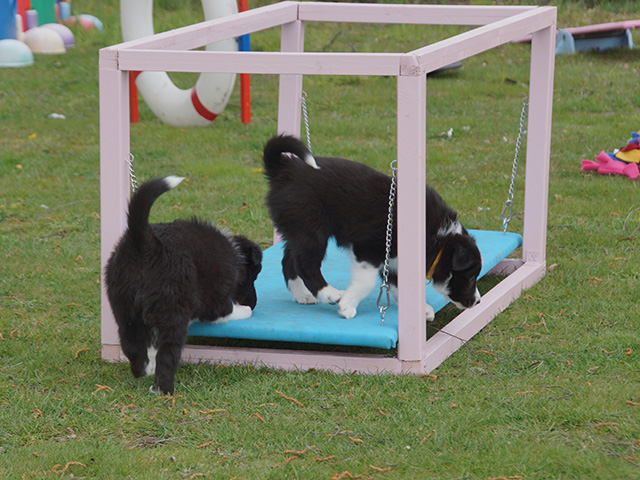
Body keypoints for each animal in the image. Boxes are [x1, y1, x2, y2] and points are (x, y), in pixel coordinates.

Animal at [105, 176, 262, 394]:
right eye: (255, 277)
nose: (255, 303)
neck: (236, 255)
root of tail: (145, 242)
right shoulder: (216, 300)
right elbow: (228, 310)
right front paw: (245, 309)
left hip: (123, 305)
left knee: (129, 341)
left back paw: (143, 370)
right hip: (173, 308)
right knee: (168, 352)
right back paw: (163, 389)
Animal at [262, 134, 482, 321]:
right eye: (471, 278)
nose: (478, 301)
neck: (439, 239)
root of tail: (284, 170)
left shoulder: (393, 259)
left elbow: (399, 283)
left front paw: (422, 309)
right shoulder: (368, 248)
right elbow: (366, 282)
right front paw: (347, 306)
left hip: (298, 228)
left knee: (288, 259)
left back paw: (302, 294)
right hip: (311, 228)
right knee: (305, 263)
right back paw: (331, 294)